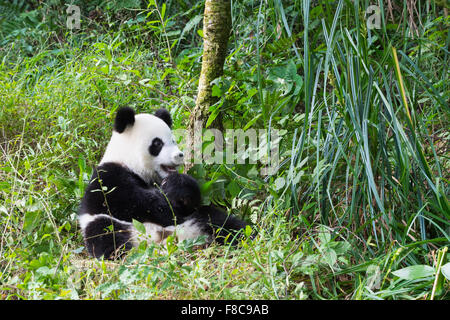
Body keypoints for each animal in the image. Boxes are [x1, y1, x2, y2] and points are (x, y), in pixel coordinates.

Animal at [77, 107, 246, 260]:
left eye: (173, 140)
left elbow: (189, 202)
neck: (131, 164)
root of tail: (166, 240)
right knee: (105, 233)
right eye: (157, 143)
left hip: (198, 221)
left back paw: (244, 236)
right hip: (113, 227)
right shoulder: (109, 177)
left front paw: (176, 186)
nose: (179, 155)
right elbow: (137, 204)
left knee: (220, 221)